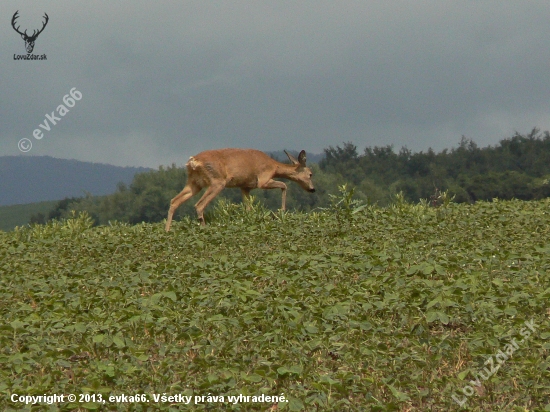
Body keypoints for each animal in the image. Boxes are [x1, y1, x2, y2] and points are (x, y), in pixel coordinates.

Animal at [165, 149, 314, 232]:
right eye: (311, 174)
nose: (312, 189)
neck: (274, 167)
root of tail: (193, 161)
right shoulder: (263, 180)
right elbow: (284, 185)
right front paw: (281, 212)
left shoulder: (245, 186)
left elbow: (248, 208)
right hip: (217, 181)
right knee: (199, 204)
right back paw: (205, 228)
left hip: (194, 183)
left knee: (174, 201)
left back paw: (167, 231)